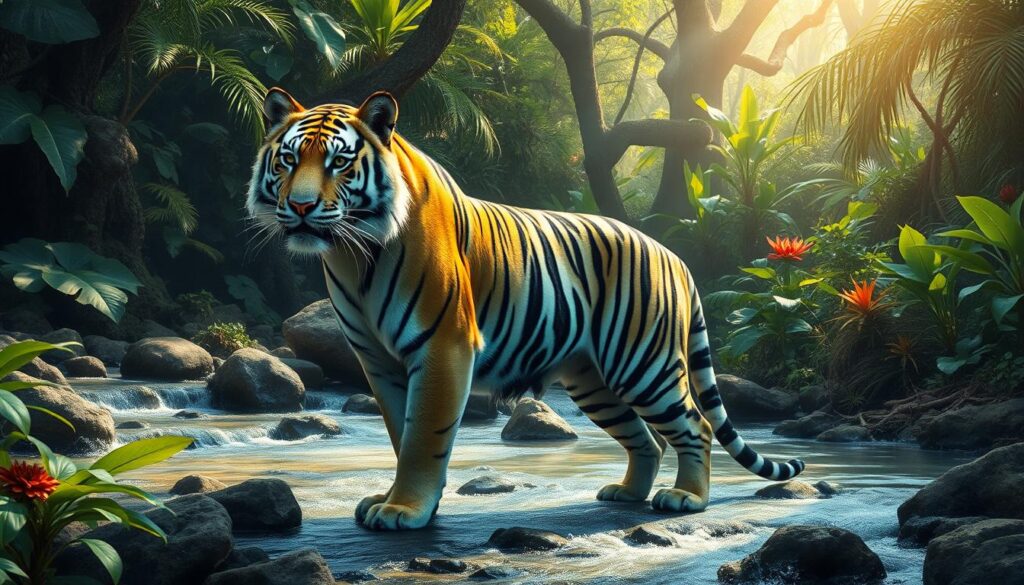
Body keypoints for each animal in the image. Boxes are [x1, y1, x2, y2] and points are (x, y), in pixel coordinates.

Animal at [247, 87, 806, 531]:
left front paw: (404, 509)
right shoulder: (379, 362)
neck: (353, 253)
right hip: (593, 379)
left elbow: (423, 436)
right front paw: (398, 500)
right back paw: (627, 492)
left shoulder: (443, 347)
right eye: (289, 160)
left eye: (339, 163)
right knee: (648, 439)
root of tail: (675, 256)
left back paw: (686, 498)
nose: (300, 207)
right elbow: (399, 433)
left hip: (641, 363)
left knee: (695, 426)